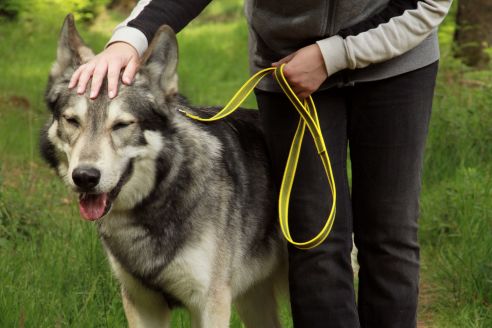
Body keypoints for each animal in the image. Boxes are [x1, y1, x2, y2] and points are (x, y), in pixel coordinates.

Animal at [42, 14, 288, 326]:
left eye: (122, 125)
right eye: (72, 121)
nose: (85, 177)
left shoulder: (211, 305)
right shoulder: (141, 303)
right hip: (252, 303)